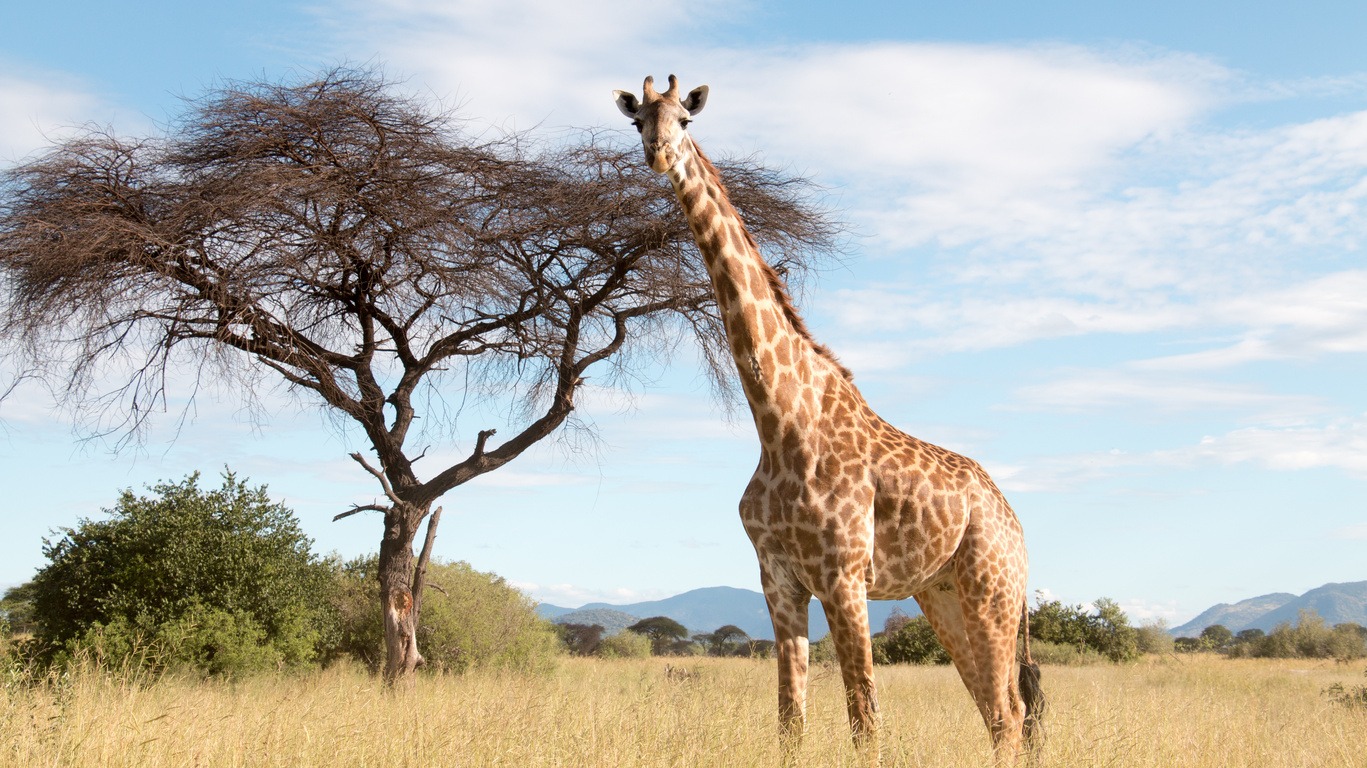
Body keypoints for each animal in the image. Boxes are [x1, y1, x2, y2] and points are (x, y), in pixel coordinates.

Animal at [615, 76, 1038, 759]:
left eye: (685, 118)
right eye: (637, 122)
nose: (658, 153)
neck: (779, 422)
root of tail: (1016, 525)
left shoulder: (844, 576)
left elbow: (864, 722)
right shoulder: (778, 579)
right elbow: (790, 721)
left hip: (992, 593)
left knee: (1010, 710)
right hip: (941, 594)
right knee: (997, 711)